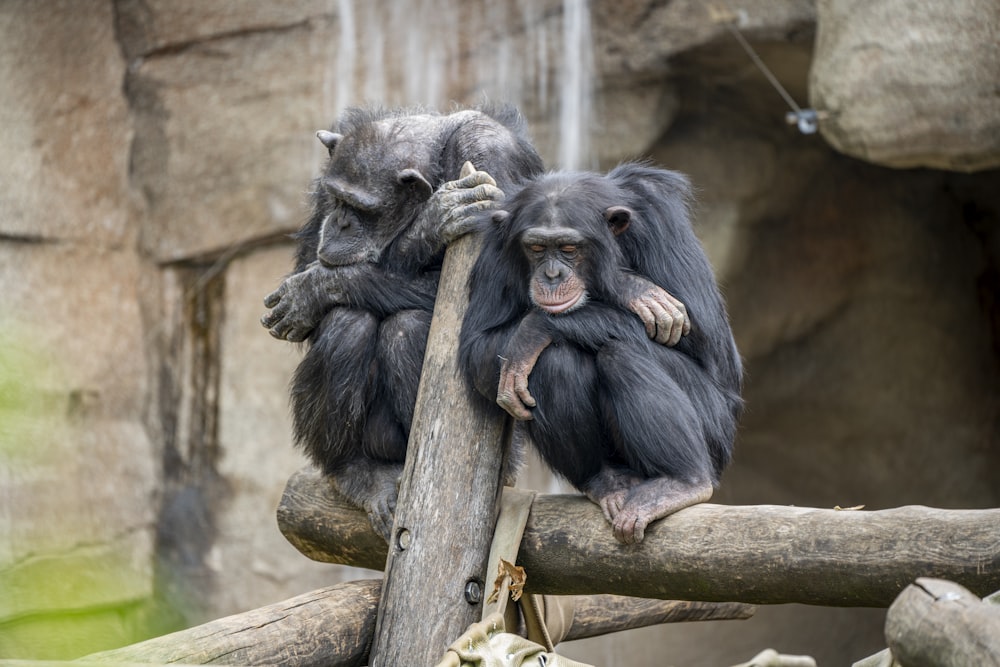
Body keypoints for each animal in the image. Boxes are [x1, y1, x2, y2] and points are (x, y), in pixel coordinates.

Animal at [460, 162, 744, 544]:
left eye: (568, 247)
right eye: (536, 248)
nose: (552, 275)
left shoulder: (662, 219)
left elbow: (709, 343)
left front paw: (621, 287)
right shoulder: (494, 246)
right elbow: (477, 347)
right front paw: (630, 287)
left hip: (716, 430)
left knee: (619, 355)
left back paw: (681, 483)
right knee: (553, 363)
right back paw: (606, 480)